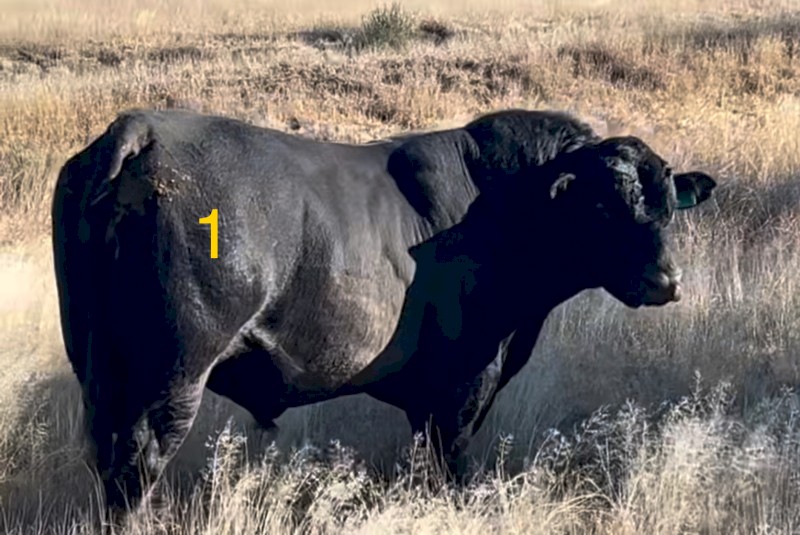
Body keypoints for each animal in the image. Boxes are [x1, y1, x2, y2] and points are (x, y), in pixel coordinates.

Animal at [51, 107, 716, 528]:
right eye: (604, 207)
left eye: (666, 204)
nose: (666, 281)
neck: (502, 209)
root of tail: (141, 127)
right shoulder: (463, 384)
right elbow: (451, 466)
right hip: (169, 376)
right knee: (136, 463)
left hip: (98, 365)